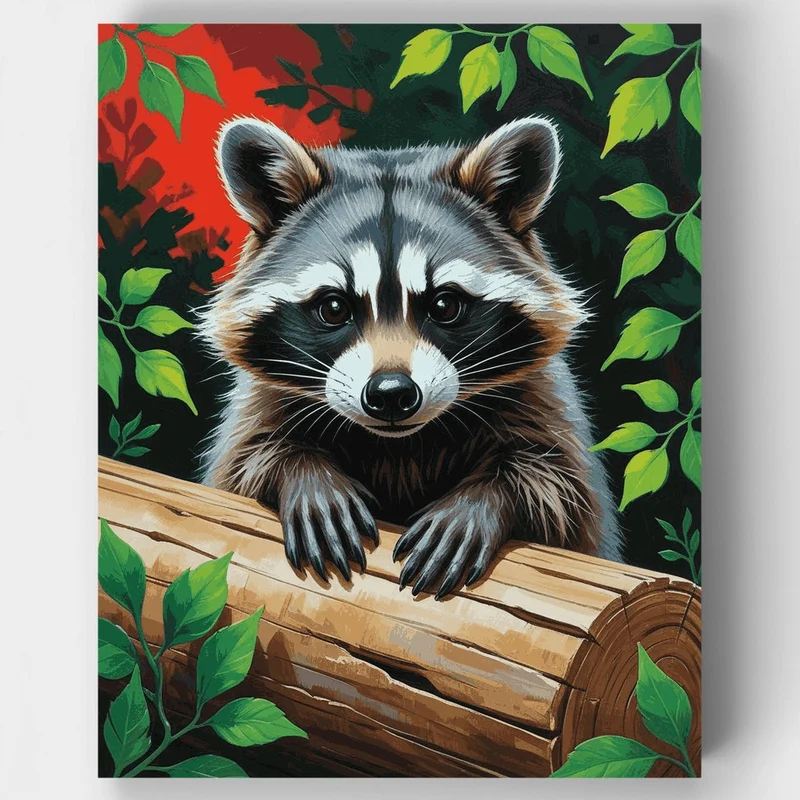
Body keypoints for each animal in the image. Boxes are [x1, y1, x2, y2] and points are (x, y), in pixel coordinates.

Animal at [199, 115, 622, 599]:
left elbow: (562, 489)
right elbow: (243, 464)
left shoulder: (545, 397)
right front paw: (305, 474)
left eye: (445, 305)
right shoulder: (258, 401)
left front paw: (481, 500)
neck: (400, 445)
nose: (391, 393)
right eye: (334, 308)